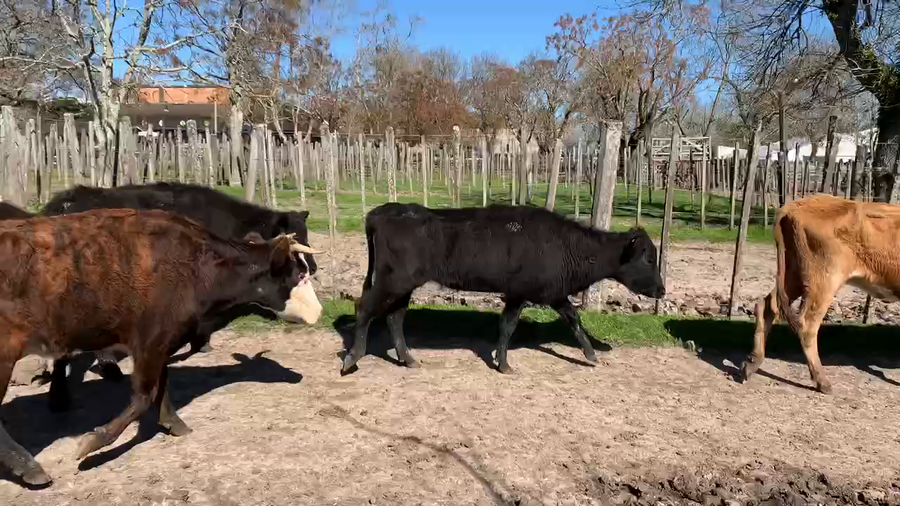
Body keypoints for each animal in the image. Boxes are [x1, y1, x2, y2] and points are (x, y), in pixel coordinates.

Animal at [0, 208, 314, 487]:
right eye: (299, 276)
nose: (317, 313)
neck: (195, 264)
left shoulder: (162, 340)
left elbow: (161, 386)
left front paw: (173, 423)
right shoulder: (149, 341)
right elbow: (144, 396)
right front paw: (92, 443)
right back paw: (30, 468)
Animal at [342, 203, 665, 375]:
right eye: (649, 258)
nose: (662, 291)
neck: (564, 245)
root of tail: (382, 212)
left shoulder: (553, 293)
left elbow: (573, 318)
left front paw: (590, 354)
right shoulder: (519, 294)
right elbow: (508, 327)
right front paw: (504, 364)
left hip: (403, 287)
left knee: (394, 318)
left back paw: (408, 359)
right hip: (392, 281)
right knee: (364, 308)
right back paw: (352, 359)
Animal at [743, 194, 900, 394]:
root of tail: (794, 205)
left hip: (794, 276)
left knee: (767, 306)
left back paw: (752, 363)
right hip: (823, 281)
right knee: (807, 324)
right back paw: (822, 382)